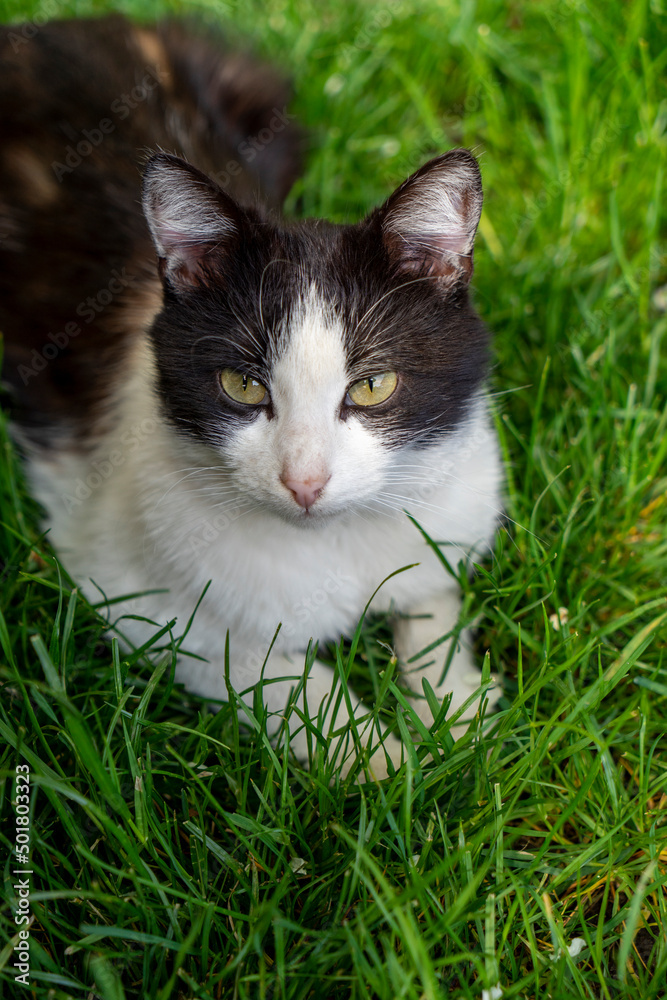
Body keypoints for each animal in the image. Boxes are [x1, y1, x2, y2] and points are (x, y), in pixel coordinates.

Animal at [1, 17, 500, 780]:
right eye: (243, 385)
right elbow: (278, 678)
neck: (333, 544)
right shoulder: (136, 598)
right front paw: (388, 765)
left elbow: (433, 597)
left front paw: (458, 717)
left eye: (372, 385)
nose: (305, 482)